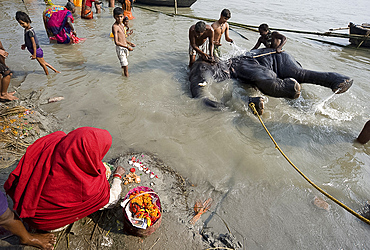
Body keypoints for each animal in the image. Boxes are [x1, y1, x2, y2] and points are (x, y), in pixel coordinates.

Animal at [189, 47, 354, 114]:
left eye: (203, 68)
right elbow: (251, 88)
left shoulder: (245, 66)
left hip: (284, 58)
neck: (228, 63)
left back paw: (344, 84)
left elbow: (267, 78)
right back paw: (344, 85)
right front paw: (259, 105)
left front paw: (294, 89)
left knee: (298, 73)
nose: (222, 104)